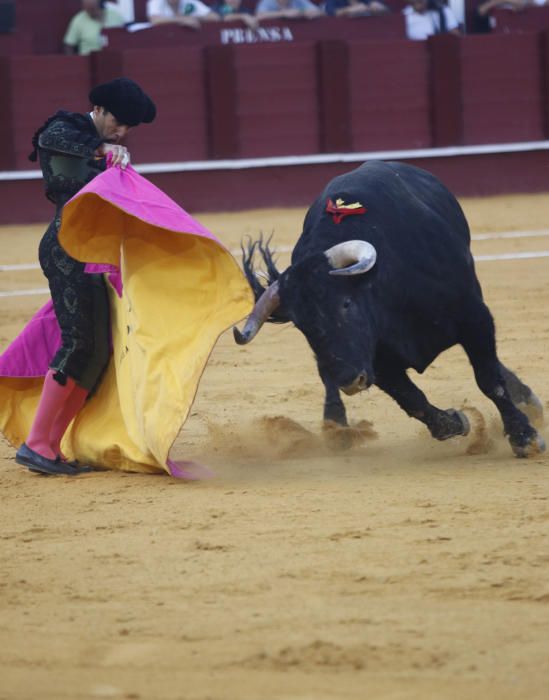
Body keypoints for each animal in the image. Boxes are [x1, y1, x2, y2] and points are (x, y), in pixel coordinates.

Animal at [232, 160, 544, 460]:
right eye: (301, 325)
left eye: (346, 304)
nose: (350, 381)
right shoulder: (376, 361)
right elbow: (413, 400)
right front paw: (457, 421)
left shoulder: (474, 318)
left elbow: (489, 380)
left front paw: (524, 438)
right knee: (327, 375)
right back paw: (337, 429)